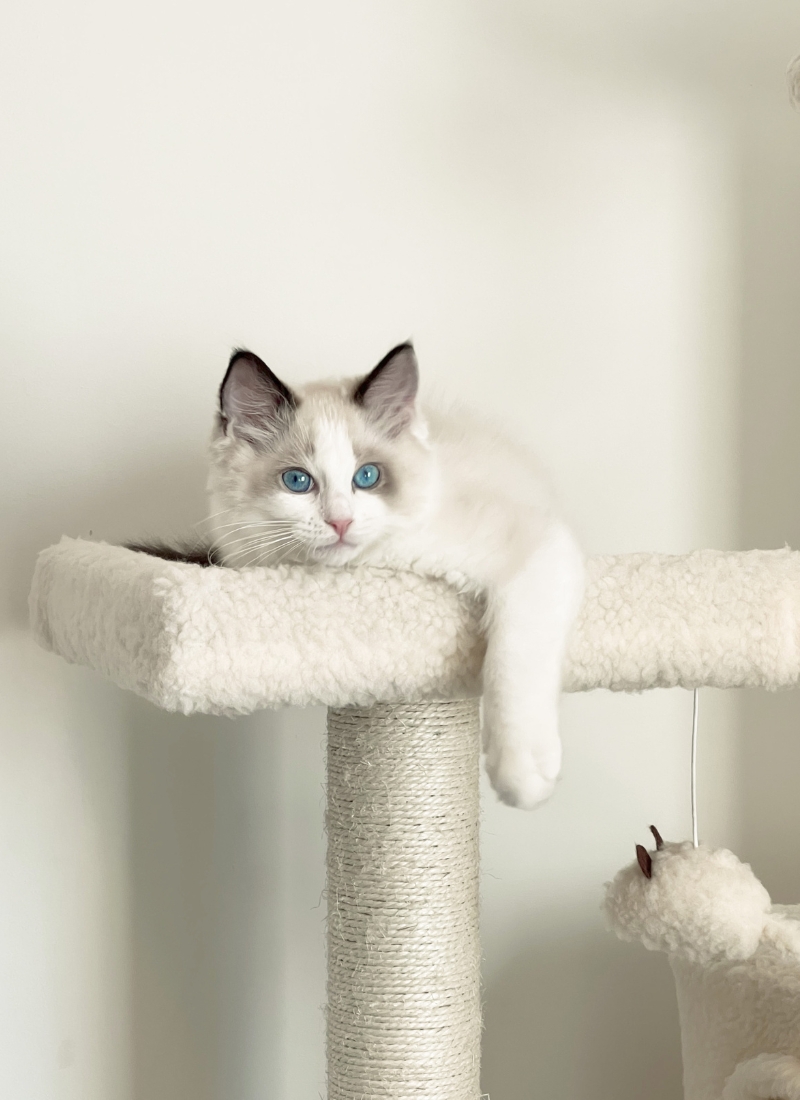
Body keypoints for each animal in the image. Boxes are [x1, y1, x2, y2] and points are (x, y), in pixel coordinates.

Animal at [203, 343, 585, 809]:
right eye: (297, 481)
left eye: (367, 477)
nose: (341, 522)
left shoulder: (538, 546)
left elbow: (513, 659)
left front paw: (522, 775)